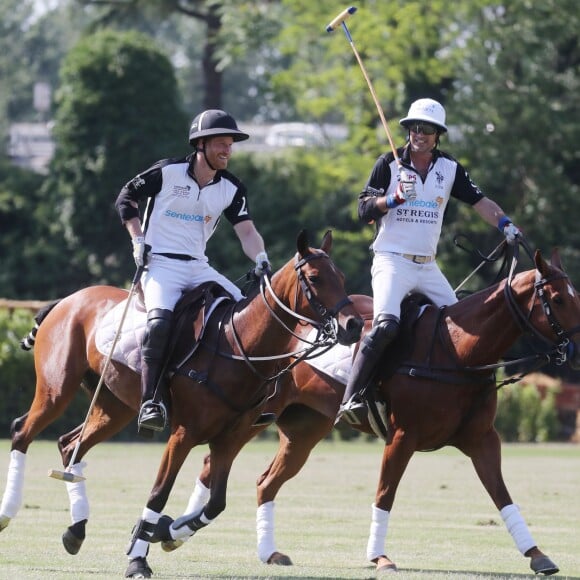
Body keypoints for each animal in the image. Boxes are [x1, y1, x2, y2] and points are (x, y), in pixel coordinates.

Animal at [0, 231, 362, 576]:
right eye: (315, 277)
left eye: (342, 276)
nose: (354, 325)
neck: (239, 347)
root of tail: (67, 300)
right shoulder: (183, 434)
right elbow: (159, 493)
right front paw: (138, 560)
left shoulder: (230, 440)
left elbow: (216, 503)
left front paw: (166, 533)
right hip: (57, 388)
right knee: (22, 431)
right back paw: (8, 513)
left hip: (114, 406)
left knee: (69, 444)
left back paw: (76, 529)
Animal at [184, 245, 580, 576]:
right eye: (558, 298)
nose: (576, 348)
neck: (457, 352)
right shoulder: (402, 436)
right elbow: (385, 493)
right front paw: (380, 557)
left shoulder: (482, 439)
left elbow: (502, 494)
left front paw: (537, 554)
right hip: (250, 416)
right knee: (211, 463)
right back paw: (186, 524)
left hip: (304, 430)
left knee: (265, 480)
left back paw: (268, 551)